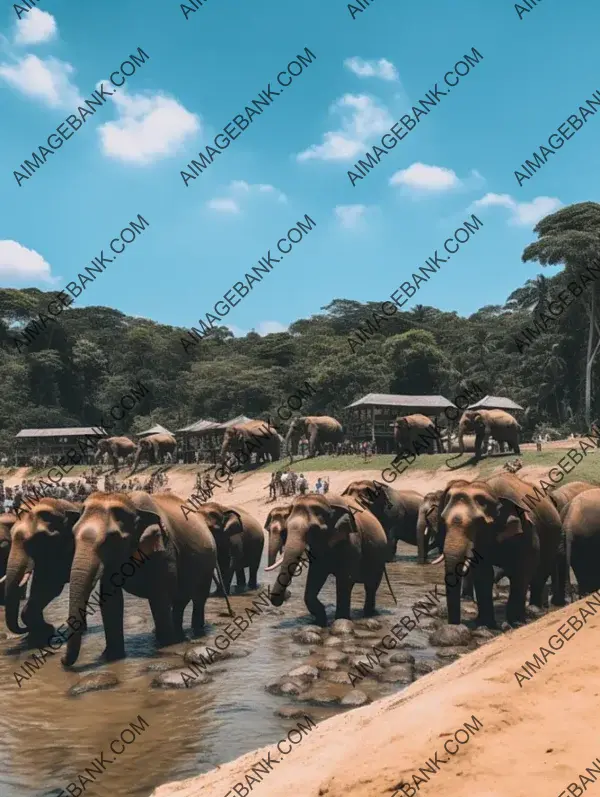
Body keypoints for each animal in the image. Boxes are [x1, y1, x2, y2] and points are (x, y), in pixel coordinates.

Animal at [4, 500, 81, 636]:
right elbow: (41, 585)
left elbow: (50, 586)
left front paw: (44, 628)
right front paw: (43, 629)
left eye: (36, 541)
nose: (24, 629)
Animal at [62, 492, 217, 664]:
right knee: (180, 601)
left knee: (197, 599)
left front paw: (166, 645)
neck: (131, 502)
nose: (61, 660)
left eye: (111, 539)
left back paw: (193, 633)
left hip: (209, 562)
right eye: (73, 534)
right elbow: (111, 600)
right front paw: (112, 657)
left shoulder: (164, 549)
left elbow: (159, 595)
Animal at [264, 492, 386, 628]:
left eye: (313, 530)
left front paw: (341, 620)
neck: (327, 501)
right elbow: (316, 576)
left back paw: (369, 614)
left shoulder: (353, 542)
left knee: (371, 586)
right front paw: (320, 622)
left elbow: (345, 580)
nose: (283, 597)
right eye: (287, 529)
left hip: (379, 558)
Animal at [436, 472, 564, 628]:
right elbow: (483, 573)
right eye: (443, 520)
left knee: (541, 570)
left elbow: (523, 570)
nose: (454, 624)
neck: (493, 493)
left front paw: (515, 622)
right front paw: (486, 625)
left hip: (553, 536)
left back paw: (534, 609)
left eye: (477, 522)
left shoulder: (527, 530)